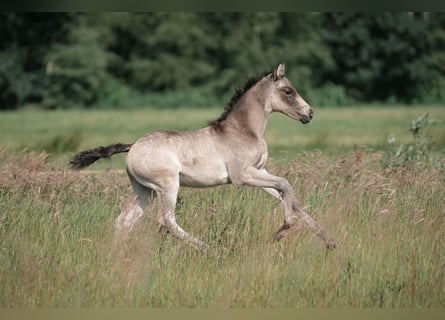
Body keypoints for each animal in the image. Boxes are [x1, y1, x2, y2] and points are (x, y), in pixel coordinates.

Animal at [70, 63, 332, 251]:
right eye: (288, 91)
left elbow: (291, 197)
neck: (244, 129)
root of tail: (133, 146)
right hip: (168, 185)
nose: (310, 113)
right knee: (166, 221)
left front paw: (328, 240)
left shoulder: (260, 171)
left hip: (144, 191)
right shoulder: (243, 175)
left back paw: (117, 257)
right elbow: (285, 185)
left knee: (124, 221)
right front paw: (282, 231)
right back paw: (209, 250)